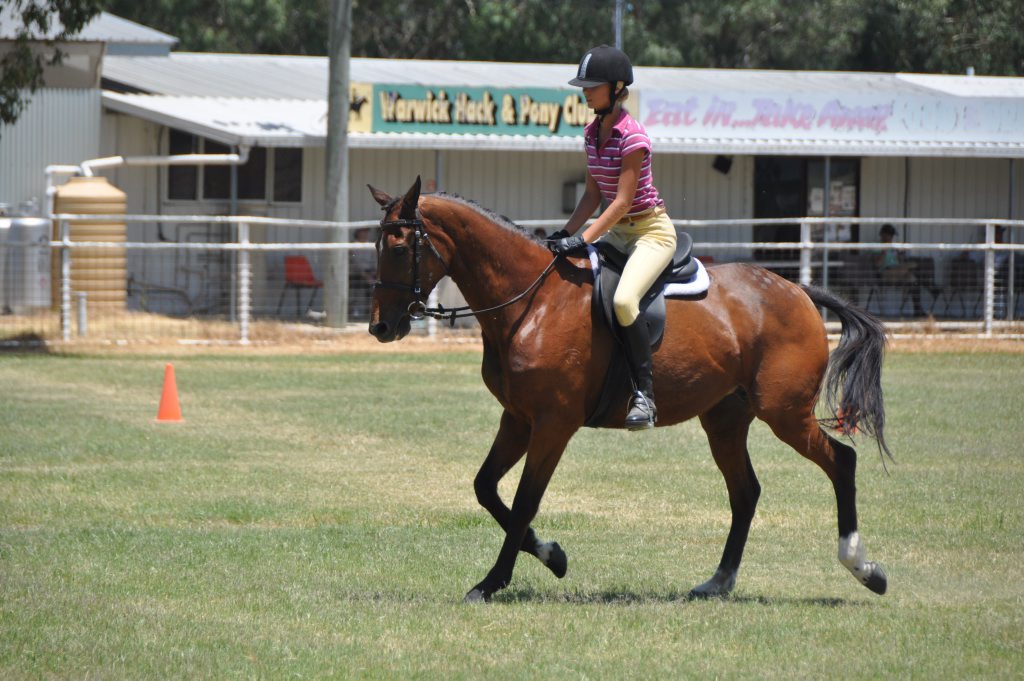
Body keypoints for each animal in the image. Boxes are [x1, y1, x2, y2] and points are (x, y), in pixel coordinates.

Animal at [368, 178, 888, 602]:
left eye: (399, 248)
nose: (380, 327)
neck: (531, 301)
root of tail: (796, 290)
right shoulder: (517, 418)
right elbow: (486, 488)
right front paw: (552, 555)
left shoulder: (553, 424)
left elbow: (523, 502)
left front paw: (492, 582)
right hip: (725, 420)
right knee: (746, 493)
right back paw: (718, 581)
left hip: (785, 412)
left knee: (842, 462)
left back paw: (864, 568)